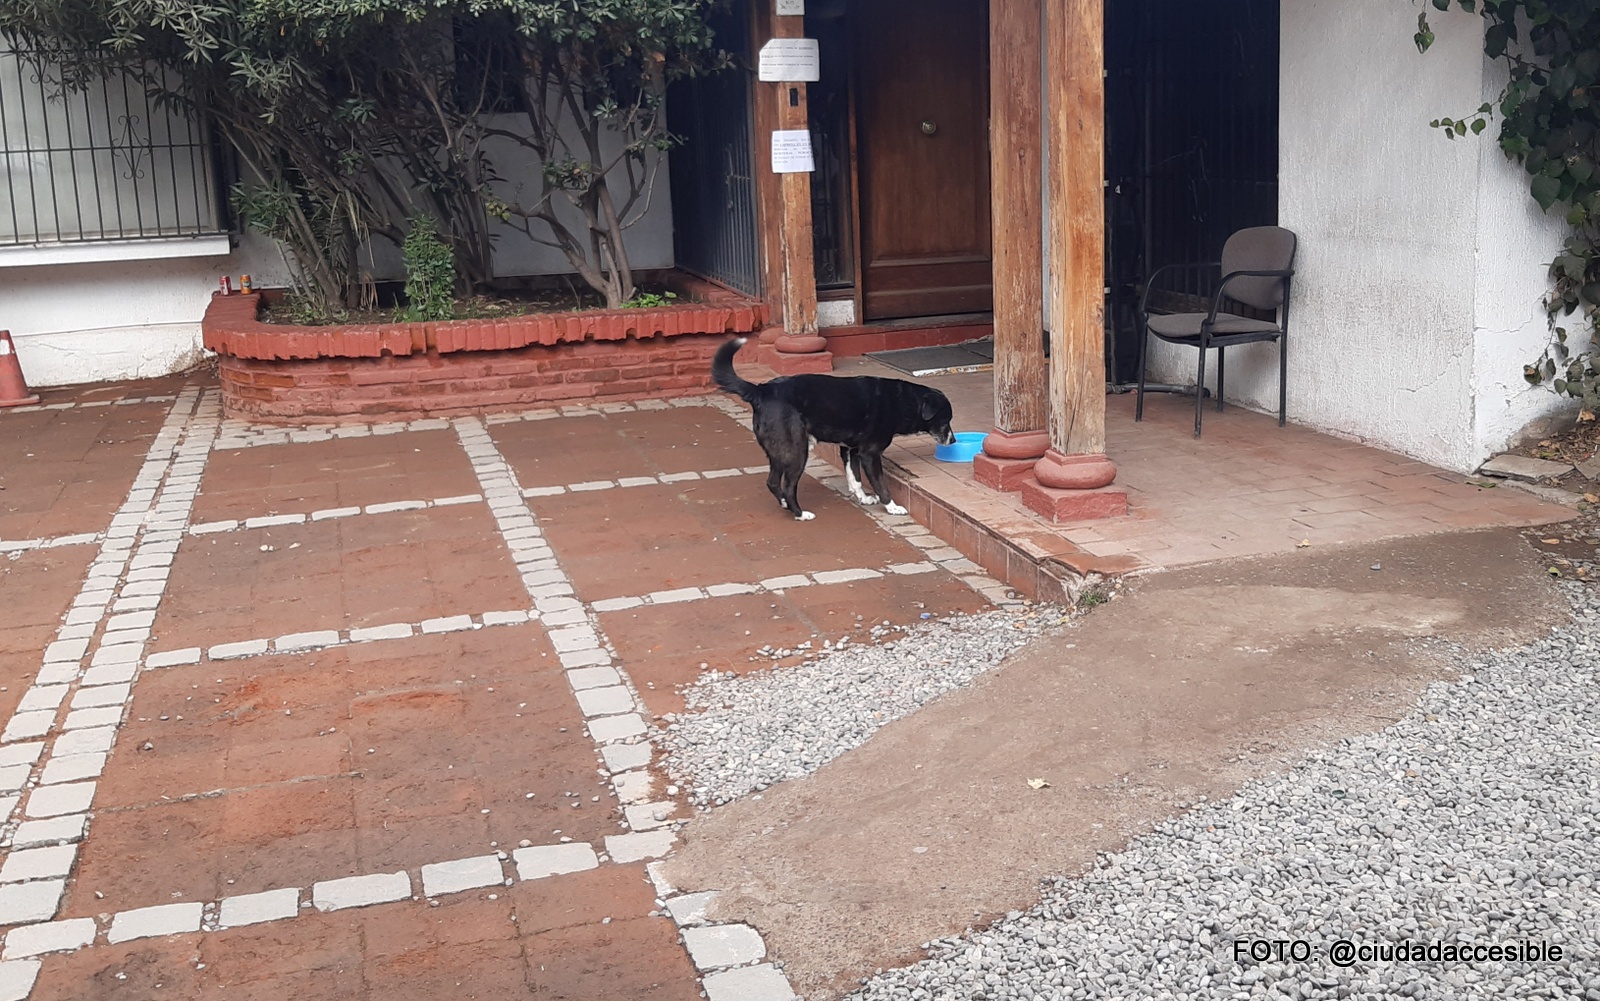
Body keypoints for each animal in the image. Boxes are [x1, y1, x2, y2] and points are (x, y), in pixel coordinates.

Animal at [710, 338, 947, 518]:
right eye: (947, 420)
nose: (952, 440)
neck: (900, 400)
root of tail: (761, 390)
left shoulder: (850, 450)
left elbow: (855, 478)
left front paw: (863, 497)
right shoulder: (870, 454)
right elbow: (880, 484)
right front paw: (892, 507)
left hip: (779, 453)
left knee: (773, 483)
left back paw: (786, 505)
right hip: (797, 452)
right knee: (788, 486)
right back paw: (800, 513)